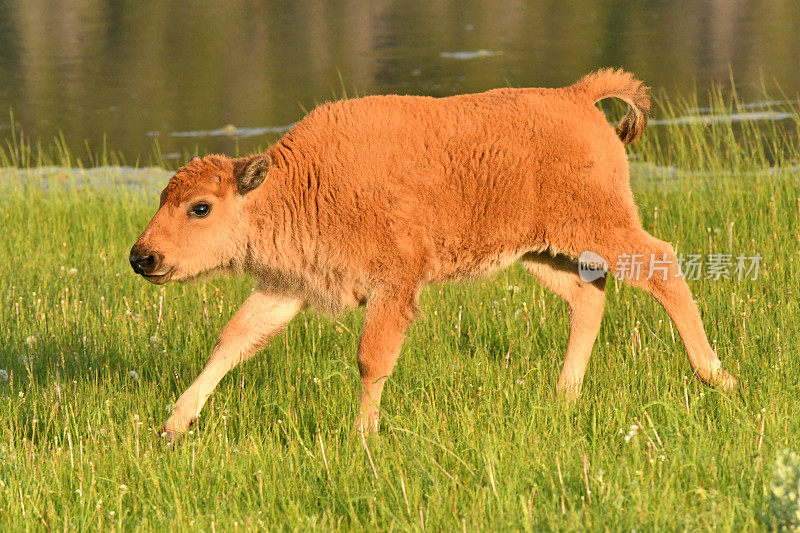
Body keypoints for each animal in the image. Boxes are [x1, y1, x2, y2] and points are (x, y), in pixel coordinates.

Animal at [130, 68, 736, 438]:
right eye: (164, 197)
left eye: (200, 207)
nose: (143, 257)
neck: (302, 183)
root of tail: (574, 95)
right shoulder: (287, 287)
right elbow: (233, 340)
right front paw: (173, 427)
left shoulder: (394, 287)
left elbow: (371, 358)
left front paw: (362, 435)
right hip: (540, 252)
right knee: (588, 297)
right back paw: (563, 396)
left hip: (601, 227)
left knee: (661, 265)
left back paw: (717, 377)